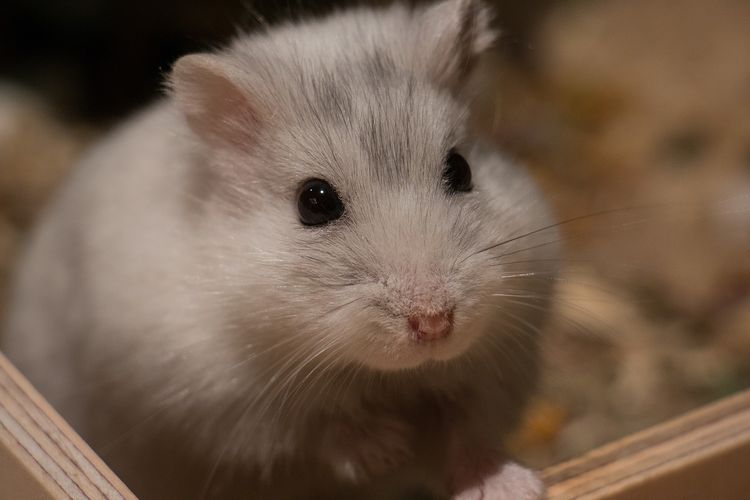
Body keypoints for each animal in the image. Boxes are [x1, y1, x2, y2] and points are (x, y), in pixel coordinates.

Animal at [2, 0, 559, 498]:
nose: (435, 324)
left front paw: (510, 488)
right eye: (314, 201)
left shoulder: (497, 363)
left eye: (461, 169)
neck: (386, 375)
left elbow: (468, 431)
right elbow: (317, 426)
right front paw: (387, 448)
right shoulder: (226, 403)